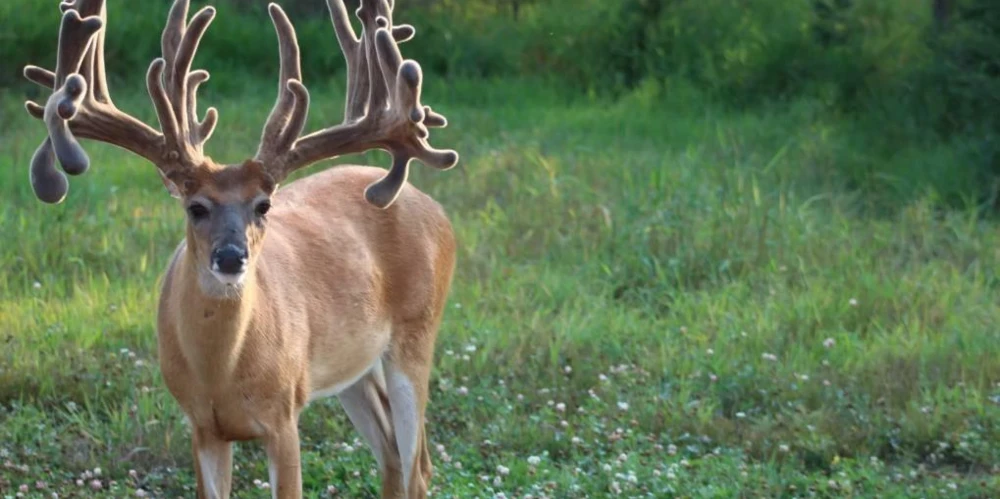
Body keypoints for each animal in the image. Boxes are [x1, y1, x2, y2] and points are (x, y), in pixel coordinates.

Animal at [22, 0, 459, 497]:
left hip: (416, 332)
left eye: (263, 204)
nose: (231, 257)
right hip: (354, 367)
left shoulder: (284, 415)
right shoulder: (202, 427)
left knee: (417, 466)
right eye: (195, 206)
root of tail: (435, 209)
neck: (221, 373)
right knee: (391, 454)